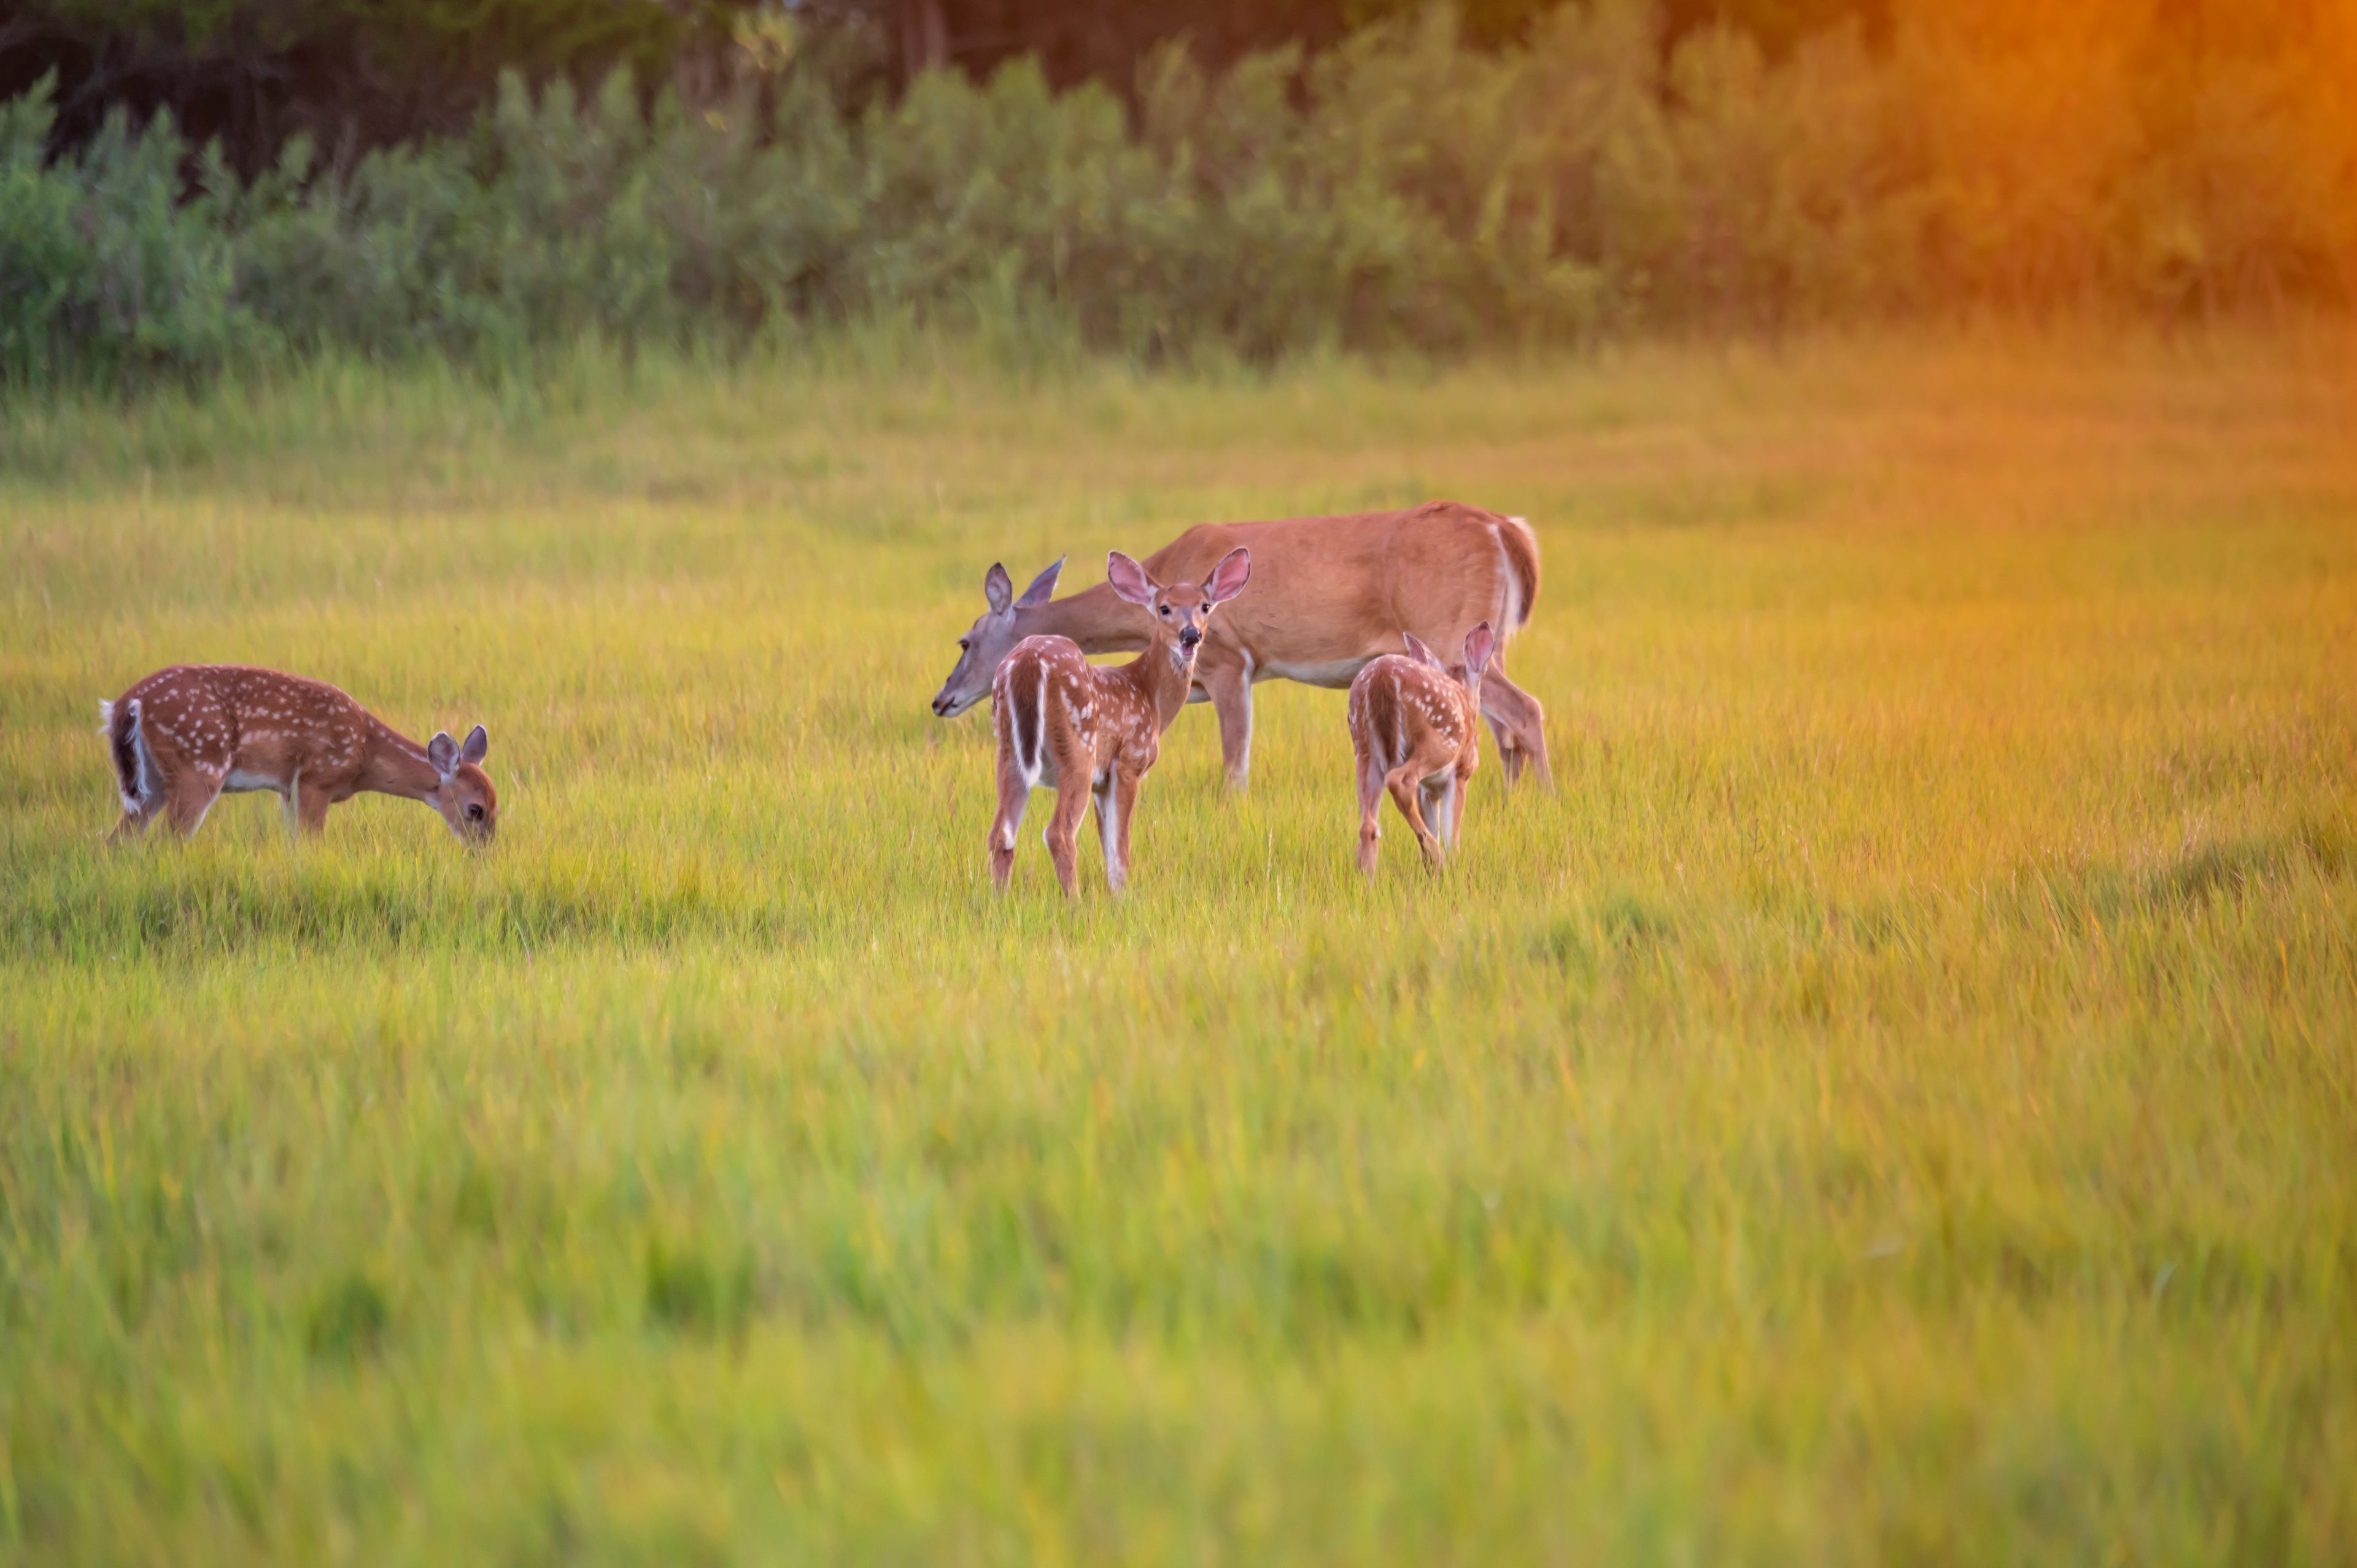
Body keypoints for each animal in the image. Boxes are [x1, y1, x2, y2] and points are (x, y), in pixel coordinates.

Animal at [100, 664, 498, 845]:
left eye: (498, 806)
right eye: (475, 809)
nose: (486, 852)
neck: (366, 753)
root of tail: (126, 704)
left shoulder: (288, 789)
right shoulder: (315, 779)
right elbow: (311, 845)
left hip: (151, 783)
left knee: (117, 842)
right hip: (197, 765)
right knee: (170, 842)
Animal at [932, 499, 1550, 793]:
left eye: (964, 641)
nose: (941, 699)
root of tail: (1507, 529)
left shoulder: (1232, 659)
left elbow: (1236, 761)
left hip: (1447, 634)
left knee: (1526, 708)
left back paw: (1545, 799)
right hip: (1485, 641)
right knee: (1500, 725)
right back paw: (1512, 799)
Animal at [989, 547, 1252, 896]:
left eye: (1205, 606)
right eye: (1164, 608)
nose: (1191, 635)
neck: (1149, 694)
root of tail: (1028, 663)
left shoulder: (1101, 784)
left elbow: (1108, 847)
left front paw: (1115, 895)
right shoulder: (1129, 762)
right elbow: (1121, 848)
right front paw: (1124, 898)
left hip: (1008, 751)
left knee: (1000, 835)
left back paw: (996, 901)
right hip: (1078, 751)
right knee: (1059, 833)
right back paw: (1075, 902)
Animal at [1347, 623, 1497, 875]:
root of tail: (1382, 675)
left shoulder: (1428, 789)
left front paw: (1432, 872)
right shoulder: (1460, 775)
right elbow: (1452, 836)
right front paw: (1451, 867)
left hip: (1364, 748)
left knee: (1367, 825)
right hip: (1438, 742)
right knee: (1400, 781)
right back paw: (1437, 856)